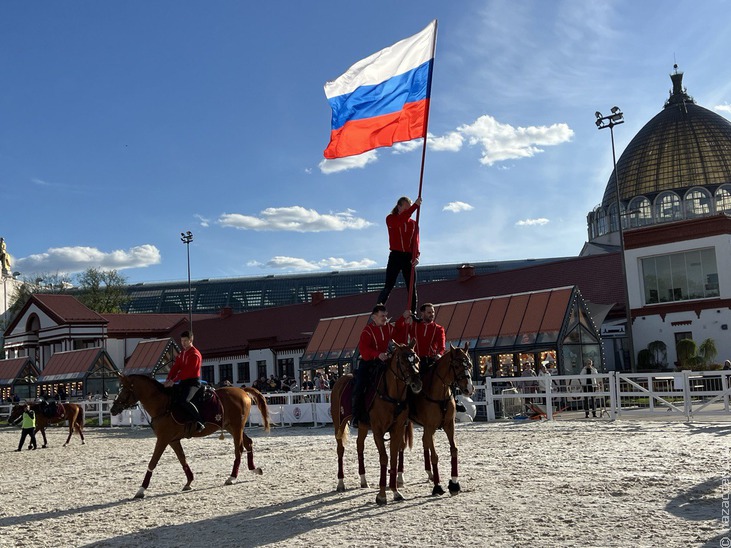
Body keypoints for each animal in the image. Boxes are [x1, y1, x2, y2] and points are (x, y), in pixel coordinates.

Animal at [108, 374, 268, 498]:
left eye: (125, 390)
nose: (113, 409)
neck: (163, 405)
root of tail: (242, 391)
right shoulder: (172, 440)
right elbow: (182, 459)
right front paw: (189, 481)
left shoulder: (163, 439)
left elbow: (153, 462)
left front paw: (141, 489)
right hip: (232, 427)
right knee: (248, 443)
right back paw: (254, 469)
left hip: (236, 427)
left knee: (239, 449)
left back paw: (232, 477)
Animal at [332, 342, 424, 506]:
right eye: (402, 362)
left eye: (417, 359)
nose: (417, 383)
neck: (392, 396)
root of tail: (340, 380)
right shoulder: (378, 431)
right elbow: (384, 458)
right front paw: (381, 495)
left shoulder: (397, 430)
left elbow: (393, 457)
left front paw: (395, 491)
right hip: (339, 424)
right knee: (340, 449)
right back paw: (341, 483)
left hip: (362, 426)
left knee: (359, 446)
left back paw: (363, 480)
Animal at [406, 342, 474, 496]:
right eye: (456, 366)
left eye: (469, 364)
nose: (469, 389)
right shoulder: (430, 427)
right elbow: (435, 456)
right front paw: (438, 486)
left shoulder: (449, 425)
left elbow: (454, 449)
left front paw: (454, 483)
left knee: (424, 441)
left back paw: (429, 473)